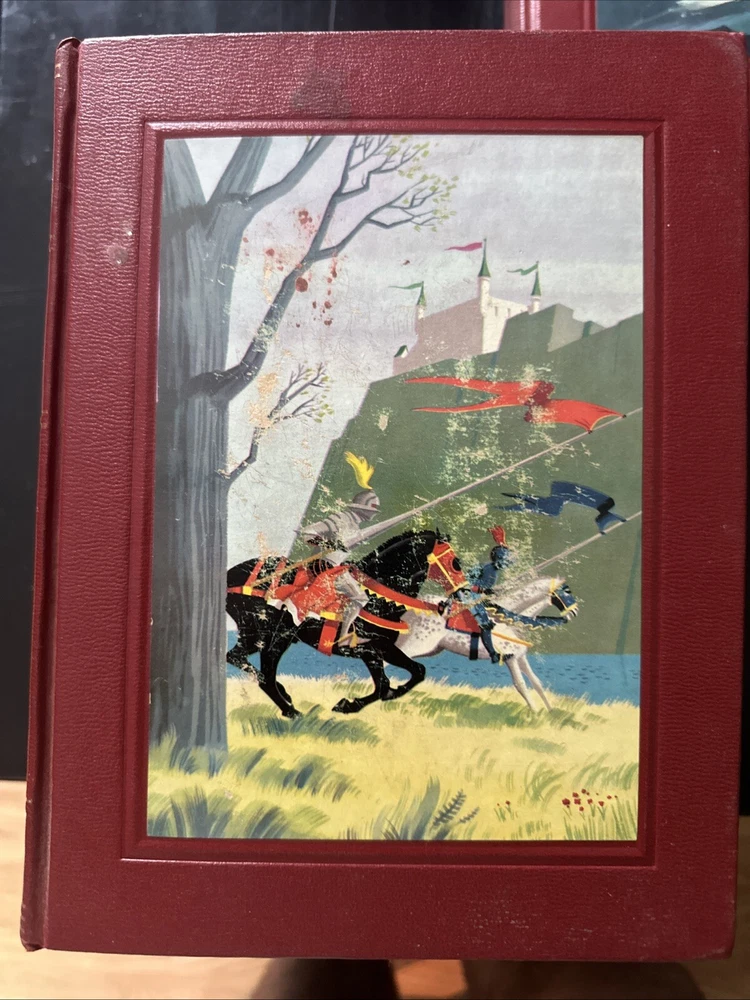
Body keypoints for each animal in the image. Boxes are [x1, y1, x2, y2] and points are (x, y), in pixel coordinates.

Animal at [226, 529, 463, 718]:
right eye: (455, 563)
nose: (462, 592)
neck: (377, 596)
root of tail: (230, 576)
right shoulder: (368, 648)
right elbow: (387, 683)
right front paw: (348, 705)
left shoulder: (381, 649)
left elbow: (411, 674)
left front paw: (360, 701)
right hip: (271, 637)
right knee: (262, 673)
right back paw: (290, 709)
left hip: (260, 637)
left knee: (239, 659)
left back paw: (286, 699)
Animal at [396, 576, 579, 712]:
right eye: (567, 591)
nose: (575, 612)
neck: (507, 619)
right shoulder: (510, 658)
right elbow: (521, 685)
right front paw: (534, 714)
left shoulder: (520, 657)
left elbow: (537, 683)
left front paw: (550, 712)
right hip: (416, 645)